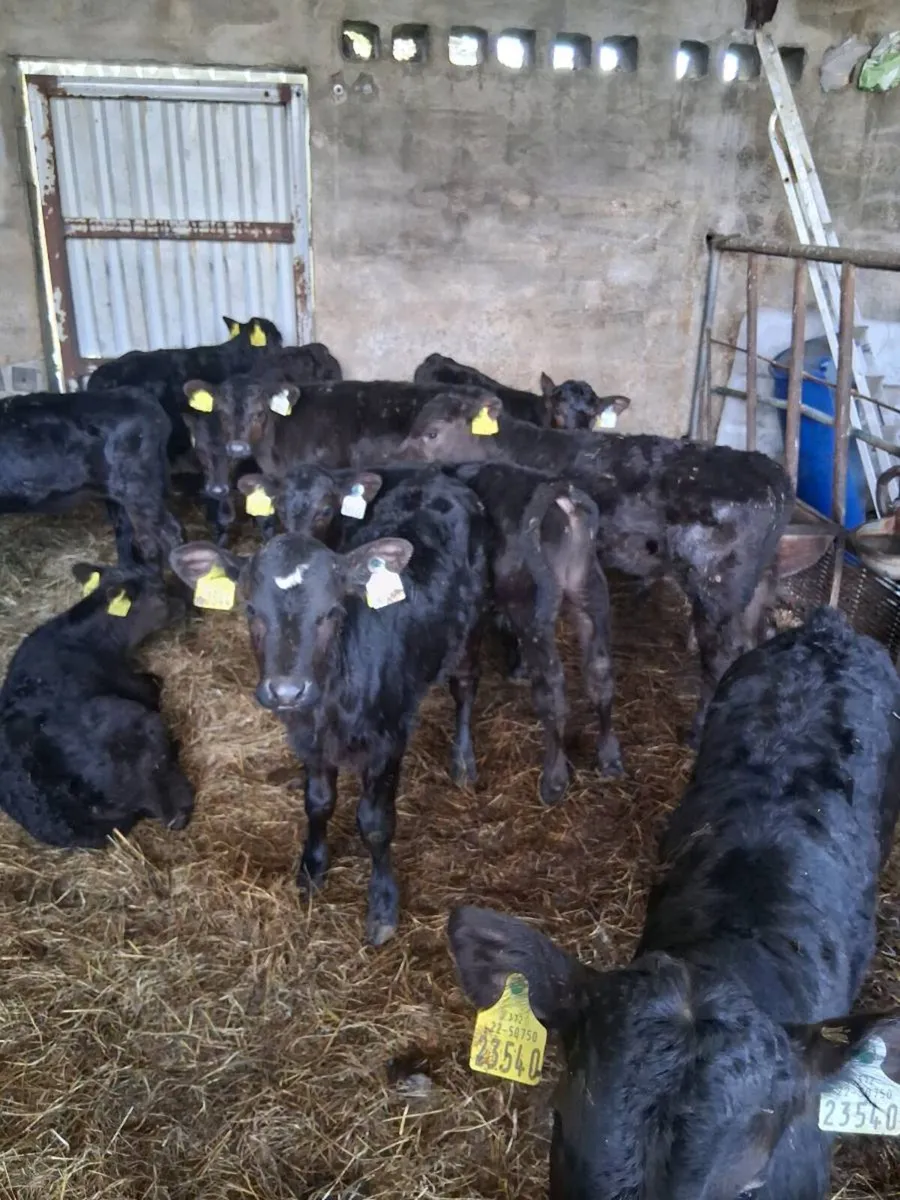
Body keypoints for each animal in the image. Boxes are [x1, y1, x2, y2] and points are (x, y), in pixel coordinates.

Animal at [170, 470, 489, 944]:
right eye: (251, 609)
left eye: (332, 611)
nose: (286, 691)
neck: (332, 700)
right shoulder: (308, 741)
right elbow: (318, 802)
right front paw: (313, 868)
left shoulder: (388, 740)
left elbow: (375, 822)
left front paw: (382, 905)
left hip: (472, 626)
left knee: (465, 687)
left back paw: (464, 761)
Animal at [236, 462, 621, 801]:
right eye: (280, 508)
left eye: (325, 508)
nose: (294, 536)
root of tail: (556, 488)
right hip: (591, 591)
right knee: (600, 671)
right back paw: (610, 757)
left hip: (531, 606)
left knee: (552, 689)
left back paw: (554, 779)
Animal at [396, 389, 795, 741]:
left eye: (431, 433)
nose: (395, 463)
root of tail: (772, 475)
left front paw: (519, 666)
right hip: (760, 582)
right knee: (761, 633)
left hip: (716, 583)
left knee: (721, 655)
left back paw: (697, 731)